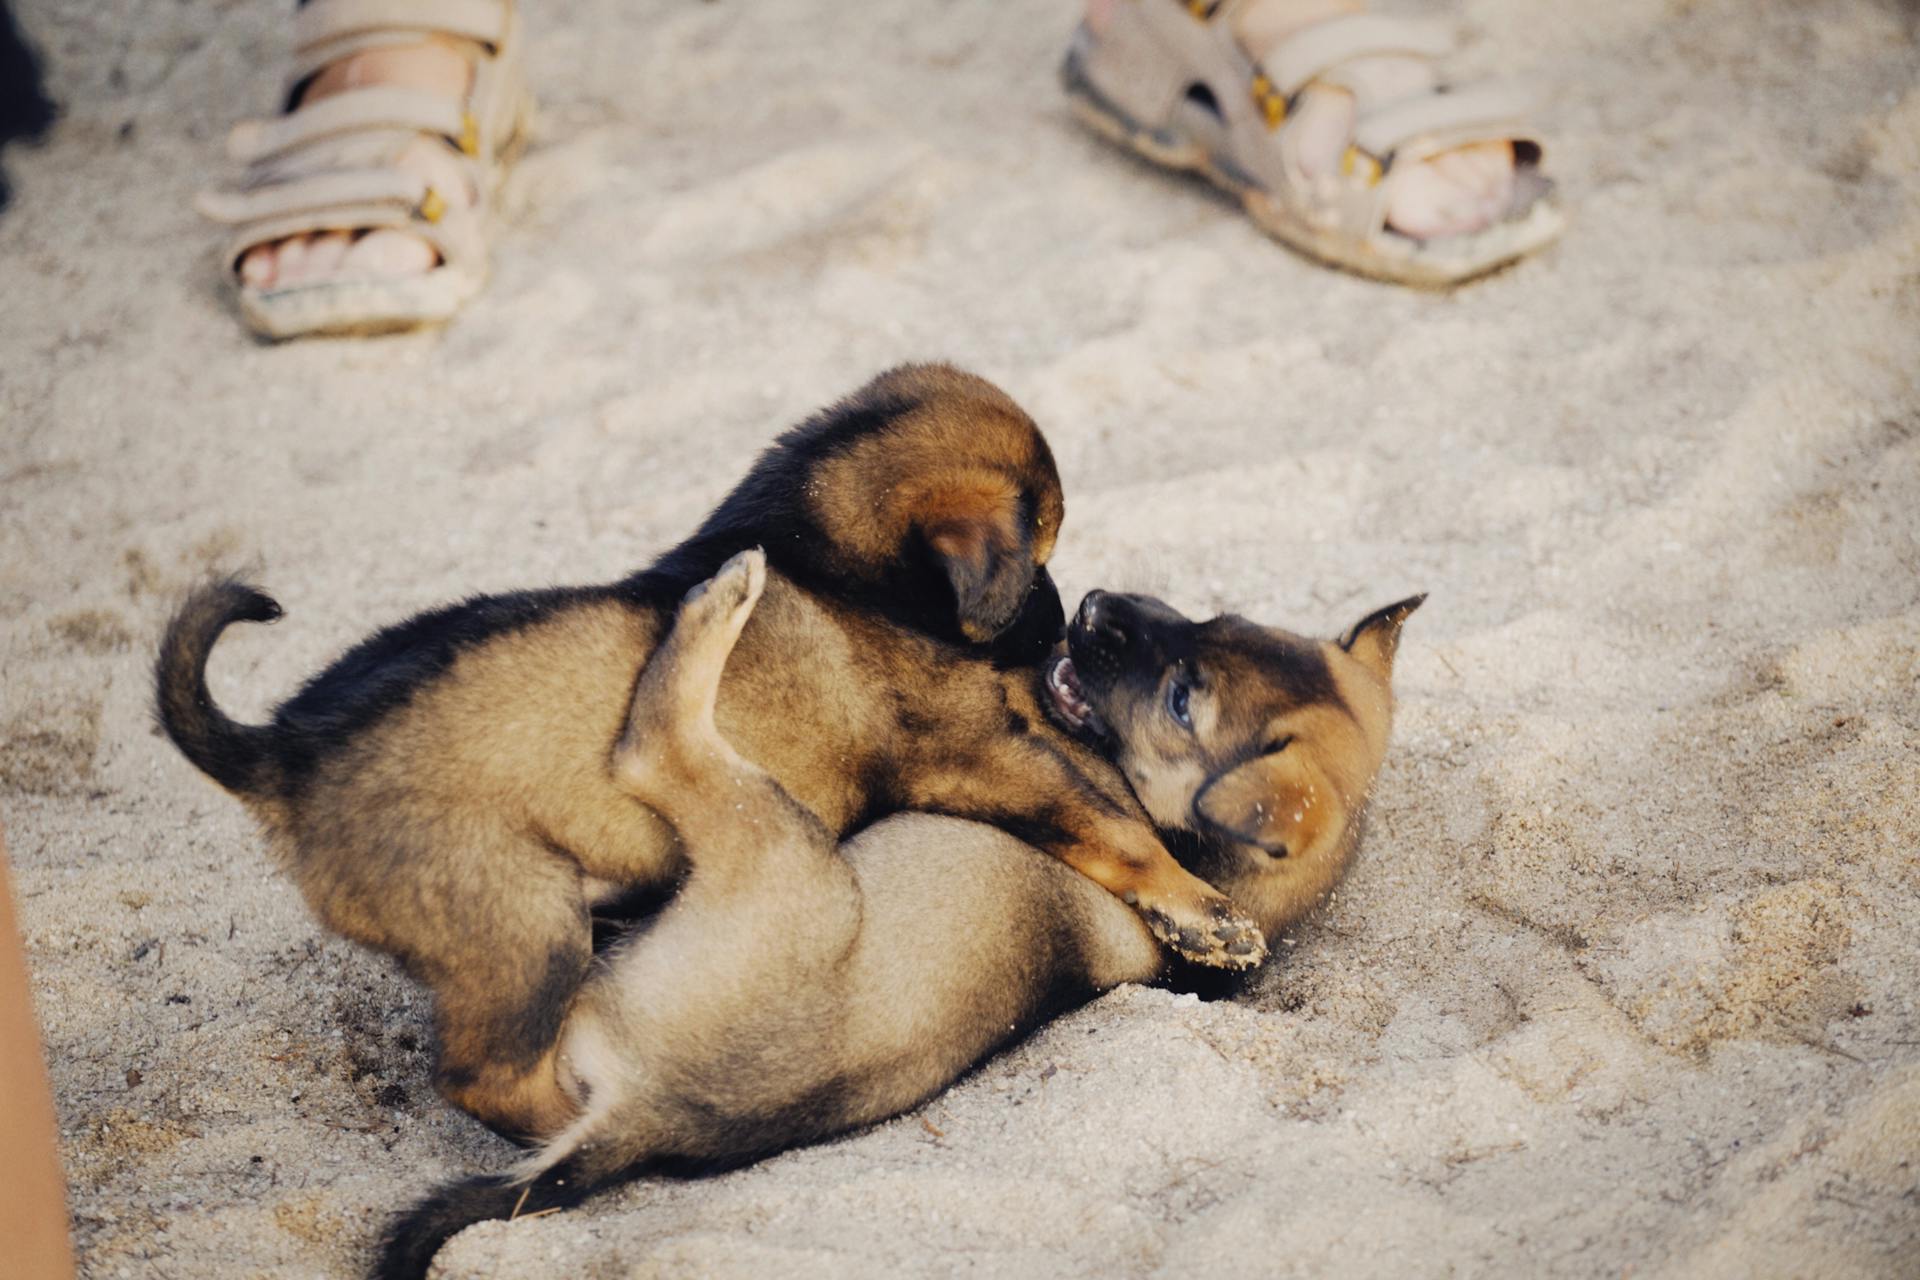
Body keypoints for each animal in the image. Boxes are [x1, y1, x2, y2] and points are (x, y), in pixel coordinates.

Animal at [149, 362, 1259, 1143]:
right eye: (1036, 558)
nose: (1064, 615)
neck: (825, 557)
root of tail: (282, 754)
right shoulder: (980, 752)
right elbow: (1111, 825)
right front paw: (1203, 913)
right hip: (518, 921)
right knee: (486, 1076)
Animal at [378, 552, 1428, 1280]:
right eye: (1210, 621)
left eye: (1182, 701)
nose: (1092, 606)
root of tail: (642, 1119)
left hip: (784, 848)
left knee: (654, 748)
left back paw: (722, 604)